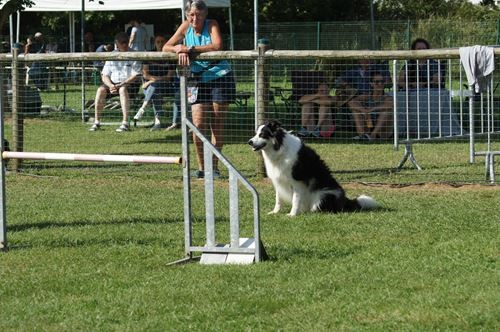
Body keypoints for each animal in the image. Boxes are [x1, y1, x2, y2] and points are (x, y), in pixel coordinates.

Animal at [248, 120, 380, 217]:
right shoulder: (279, 179)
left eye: (262, 135)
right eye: (255, 134)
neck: (279, 148)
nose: (249, 142)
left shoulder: (297, 181)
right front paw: (275, 212)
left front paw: (292, 214)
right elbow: (278, 199)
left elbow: (295, 199)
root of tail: (345, 200)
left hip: (323, 195)